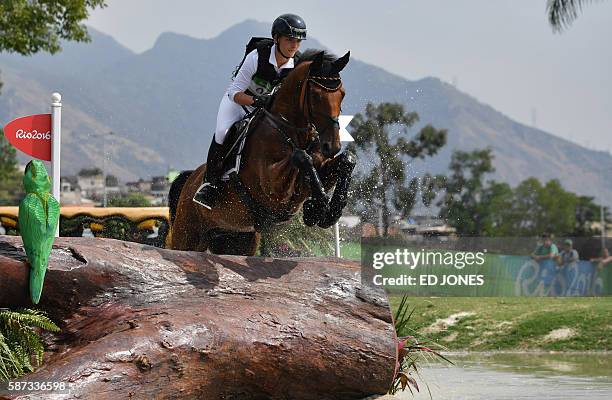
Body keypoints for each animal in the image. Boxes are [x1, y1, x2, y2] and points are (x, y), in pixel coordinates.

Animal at [167, 50, 358, 255]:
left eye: (342, 94)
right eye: (315, 96)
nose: (332, 146)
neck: (289, 131)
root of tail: (189, 179)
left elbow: (347, 160)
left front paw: (329, 211)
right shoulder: (271, 185)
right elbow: (301, 157)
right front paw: (318, 207)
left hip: (236, 238)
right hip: (187, 235)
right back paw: (205, 192)